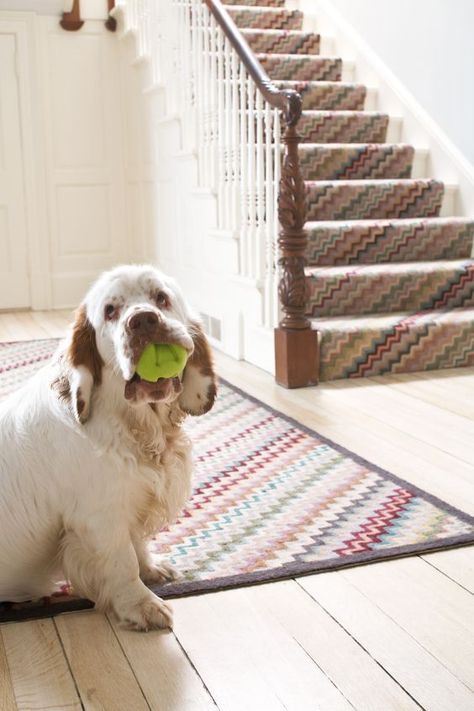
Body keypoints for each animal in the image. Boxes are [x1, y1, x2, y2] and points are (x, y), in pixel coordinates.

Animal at [0, 264, 217, 632]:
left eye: (161, 298)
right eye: (110, 311)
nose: (143, 320)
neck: (137, 427)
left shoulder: (132, 501)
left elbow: (137, 543)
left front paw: (152, 570)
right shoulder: (99, 518)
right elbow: (122, 562)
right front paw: (142, 605)